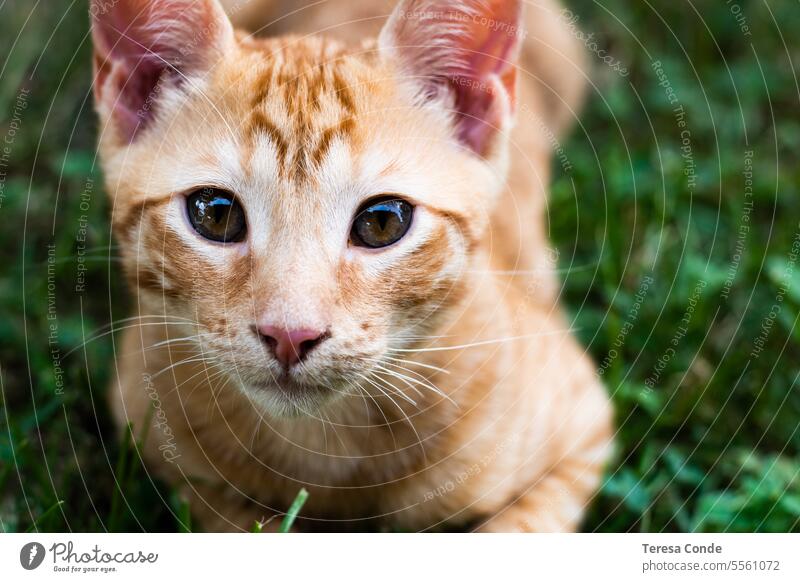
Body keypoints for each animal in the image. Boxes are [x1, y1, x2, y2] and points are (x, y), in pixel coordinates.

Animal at [90, 0, 612, 532]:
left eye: (382, 222)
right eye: (215, 214)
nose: (289, 335)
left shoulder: (586, 427)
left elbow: (516, 527)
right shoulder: (149, 425)